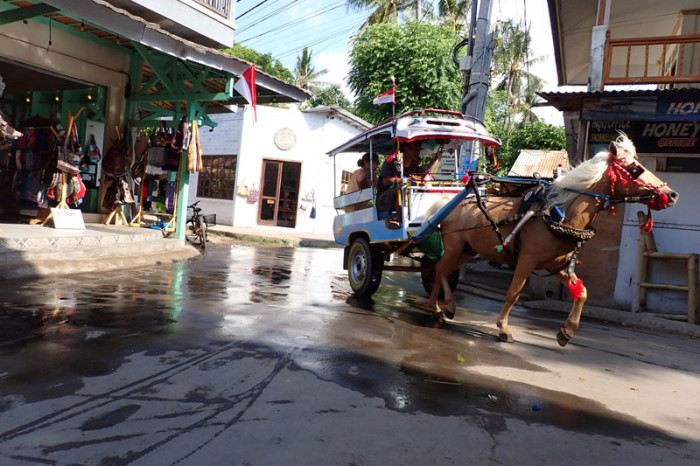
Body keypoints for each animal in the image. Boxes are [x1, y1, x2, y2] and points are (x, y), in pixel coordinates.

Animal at [424, 135, 680, 346]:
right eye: (636, 169)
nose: (672, 195)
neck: (559, 215)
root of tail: (452, 206)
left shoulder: (555, 265)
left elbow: (582, 292)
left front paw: (567, 331)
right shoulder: (526, 260)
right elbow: (514, 293)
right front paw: (504, 328)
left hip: (467, 250)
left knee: (443, 270)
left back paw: (443, 306)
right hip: (455, 247)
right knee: (439, 269)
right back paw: (438, 305)